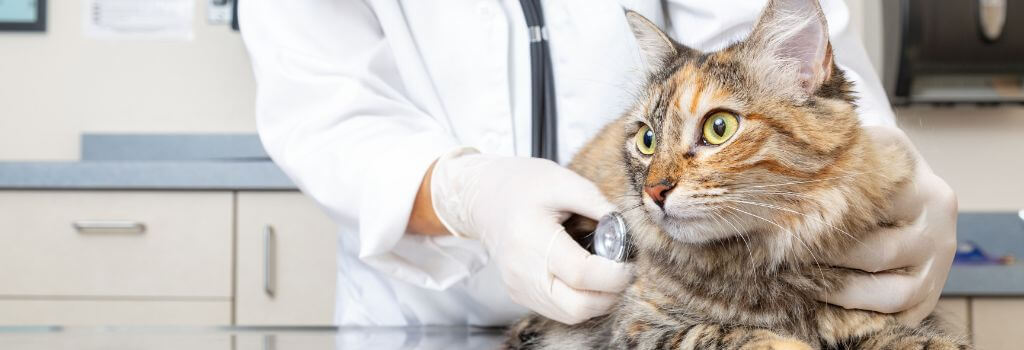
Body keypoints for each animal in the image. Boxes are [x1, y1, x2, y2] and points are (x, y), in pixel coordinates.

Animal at [503, 0, 966, 350]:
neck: (762, 262)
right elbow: (729, 334)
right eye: (647, 139)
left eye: (719, 128)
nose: (654, 191)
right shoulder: (638, 325)